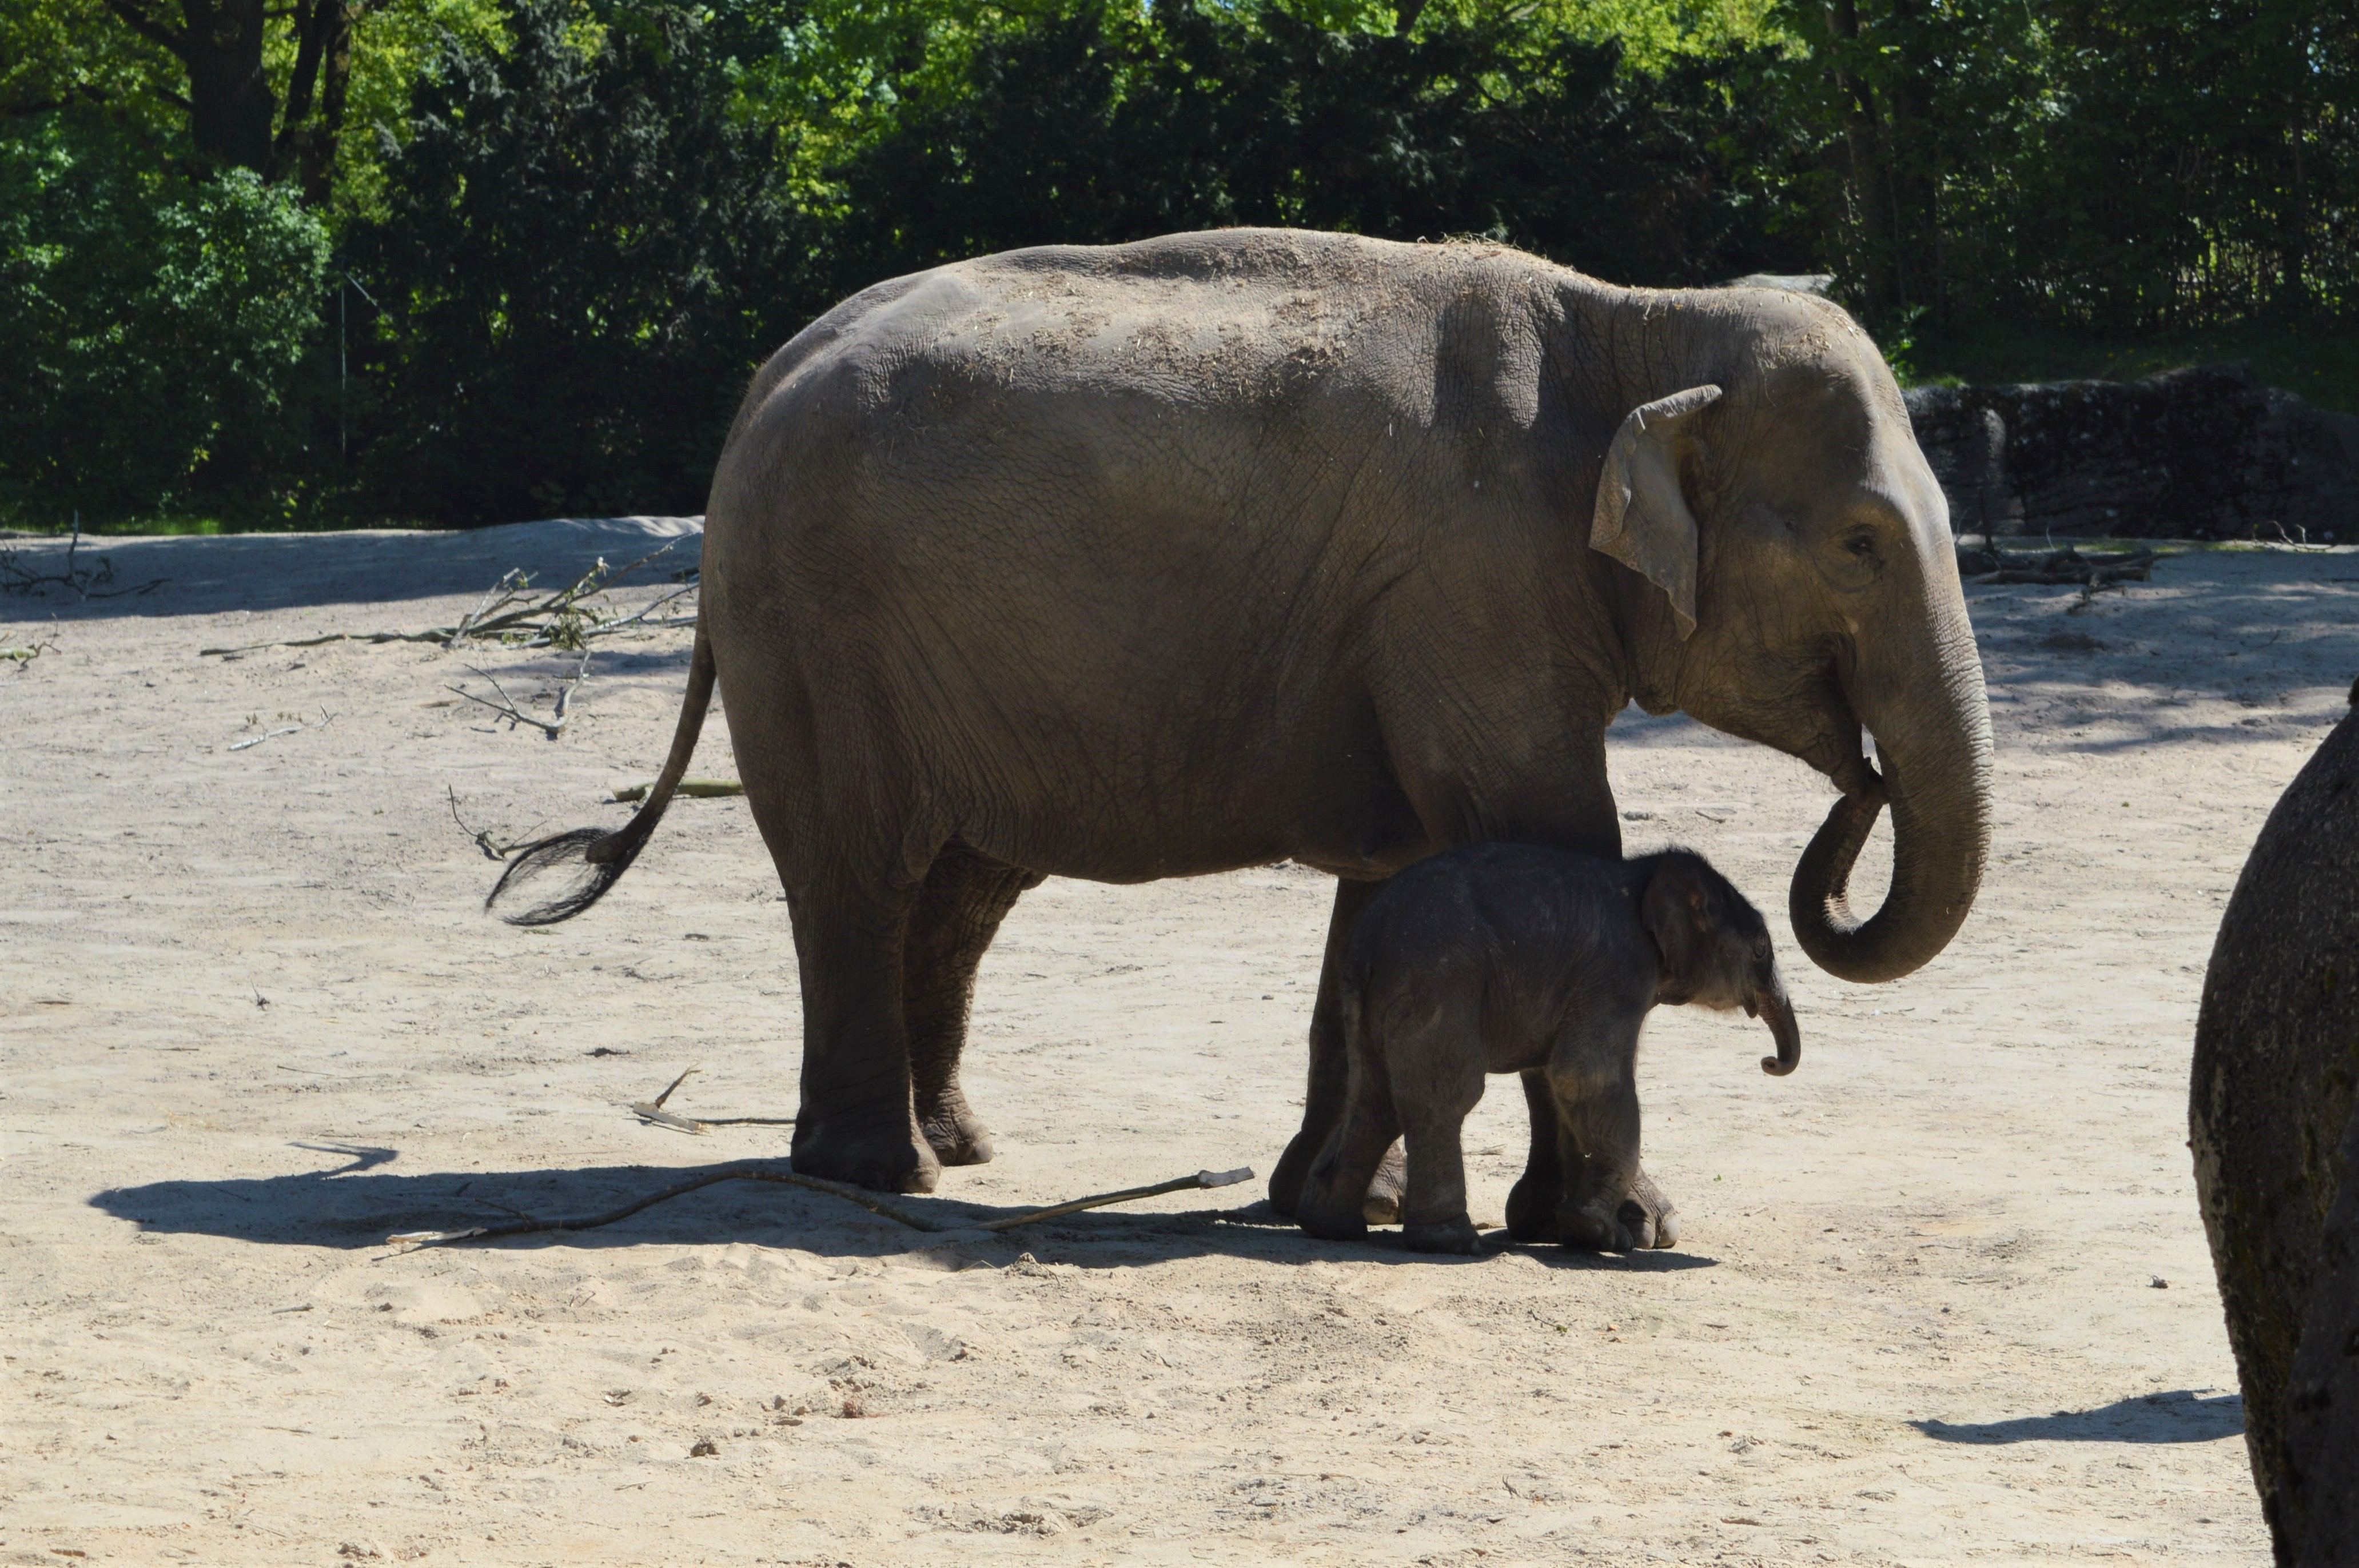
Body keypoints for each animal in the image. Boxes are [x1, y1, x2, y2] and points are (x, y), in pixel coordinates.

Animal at [1302, 839, 1792, 1254]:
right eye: (1761, 949)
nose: (1770, 1061)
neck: (1643, 872)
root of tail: (1370, 938)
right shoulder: (1617, 969)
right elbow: (1582, 1074)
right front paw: (1599, 1234)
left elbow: (1560, 1082)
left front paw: (1579, 1231)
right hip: (1438, 982)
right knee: (1444, 1098)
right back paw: (1452, 1243)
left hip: (1371, 998)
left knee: (1373, 1098)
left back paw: (1333, 1226)